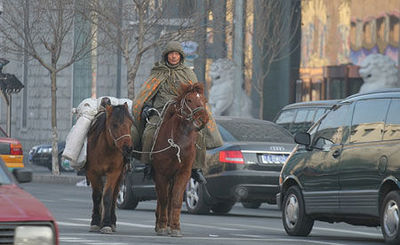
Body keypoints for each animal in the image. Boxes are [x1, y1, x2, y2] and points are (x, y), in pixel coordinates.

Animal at [85, 101, 133, 234]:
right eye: (114, 125)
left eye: (130, 124)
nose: (128, 149)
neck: (106, 149)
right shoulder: (92, 173)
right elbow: (97, 196)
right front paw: (95, 222)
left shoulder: (114, 173)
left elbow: (107, 196)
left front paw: (106, 224)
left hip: (120, 176)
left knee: (115, 195)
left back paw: (112, 222)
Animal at [151, 83, 209, 237]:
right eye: (189, 100)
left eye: (204, 100)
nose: (203, 118)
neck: (178, 144)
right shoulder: (161, 174)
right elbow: (164, 200)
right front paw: (162, 226)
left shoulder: (183, 173)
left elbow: (176, 200)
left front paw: (175, 227)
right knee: (162, 196)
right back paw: (160, 223)